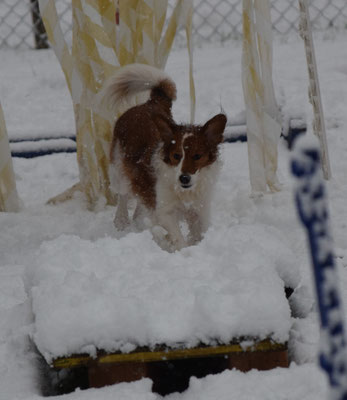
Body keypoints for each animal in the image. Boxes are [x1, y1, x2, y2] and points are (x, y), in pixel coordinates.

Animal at [109, 64, 228, 252]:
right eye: (176, 156)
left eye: (197, 156)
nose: (184, 178)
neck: (185, 192)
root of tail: (148, 104)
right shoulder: (165, 211)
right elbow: (178, 238)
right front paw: (183, 251)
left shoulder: (200, 210)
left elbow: (199, 233)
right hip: (118, 171)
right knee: (123, 195)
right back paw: (121, 220)